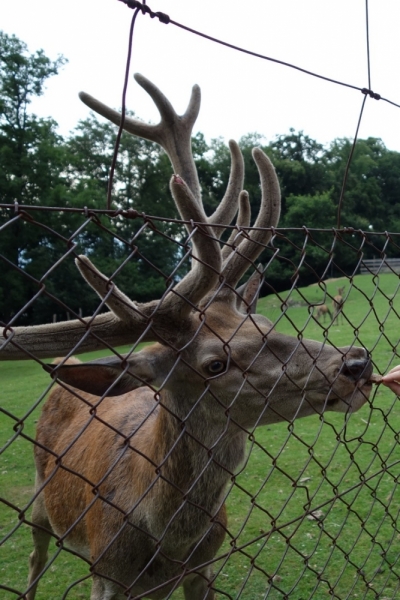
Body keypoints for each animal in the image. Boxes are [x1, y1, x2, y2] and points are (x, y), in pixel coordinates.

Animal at [0, 75, 376, 600]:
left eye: (264, 325)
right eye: (215, 364)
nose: (357, 362)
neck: (163, 543)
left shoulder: (206, 567)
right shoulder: (106, 574)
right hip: (38, 499)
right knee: (36, 556)